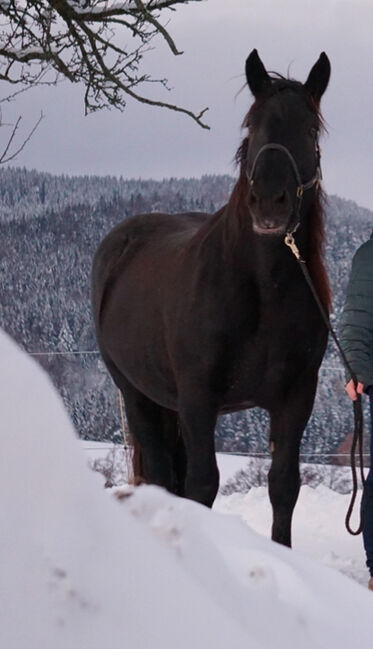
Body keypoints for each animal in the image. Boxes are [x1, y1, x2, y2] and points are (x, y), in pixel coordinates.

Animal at [91, 52, 330, 548]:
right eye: (252, 127)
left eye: (310, 130)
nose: (269, 203)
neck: (263, 294)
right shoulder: (198, 397)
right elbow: (203, 483)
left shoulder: (296, 397)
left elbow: (284, 485)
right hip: (138, 395)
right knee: (162, 474)